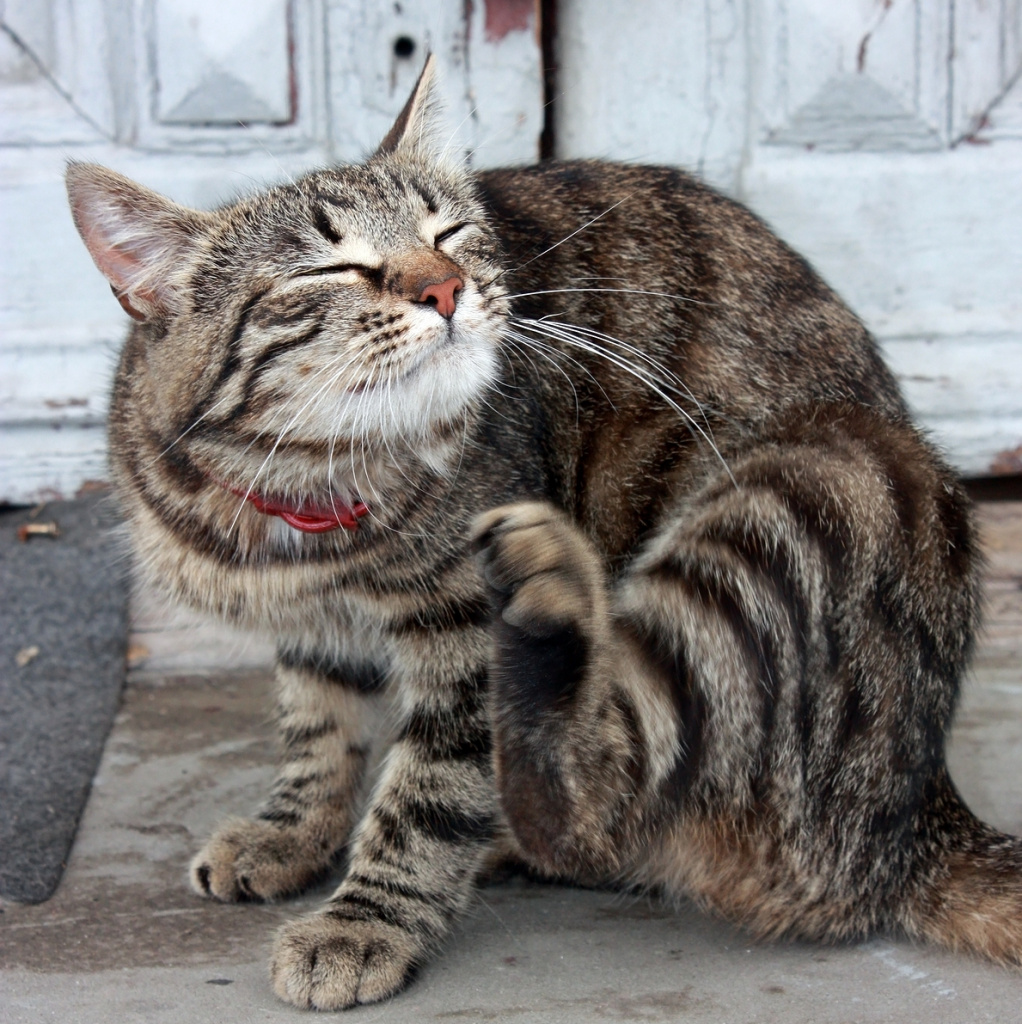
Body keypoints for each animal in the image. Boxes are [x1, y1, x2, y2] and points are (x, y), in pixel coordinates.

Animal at [66, 59, 1022, 1011]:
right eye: (333, 267)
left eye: (449, 233)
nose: (444, 288)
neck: (299, 499)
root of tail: (916, 818)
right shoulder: (314, 630)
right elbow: (317, 735)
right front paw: (289, 832)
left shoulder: (459, 644)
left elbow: (426, 796)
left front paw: (364, 920)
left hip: (824, 473)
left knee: (597, 792)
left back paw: (552, 601)